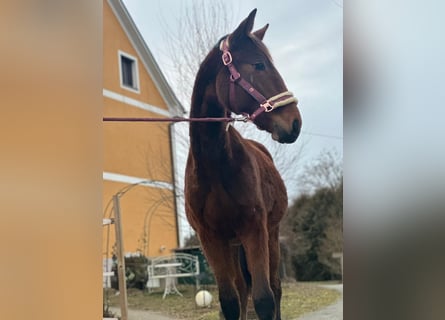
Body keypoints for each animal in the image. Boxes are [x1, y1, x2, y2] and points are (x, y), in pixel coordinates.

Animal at [184, 8, 302, 318]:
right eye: (259, 65)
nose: (295, 123)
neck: (215, 166)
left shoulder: (255, 231)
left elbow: (265, 298)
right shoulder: (211, 240)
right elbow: (229, 302)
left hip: (270, 235)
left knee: (275, 288)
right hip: (235, 246)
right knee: (242, 289)